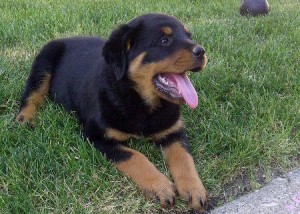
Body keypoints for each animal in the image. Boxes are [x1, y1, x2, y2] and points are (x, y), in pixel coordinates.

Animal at [16, 13, 209, 212]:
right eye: (164, 40)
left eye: (189, 36)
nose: (202, 51)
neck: (139, 101)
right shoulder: (97, 137)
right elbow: (135, 156)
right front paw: (160, 186)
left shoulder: (173, 131)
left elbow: (183, 157)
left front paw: (193, 189)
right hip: (44, 61)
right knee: (32, 93)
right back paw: (25, 118)